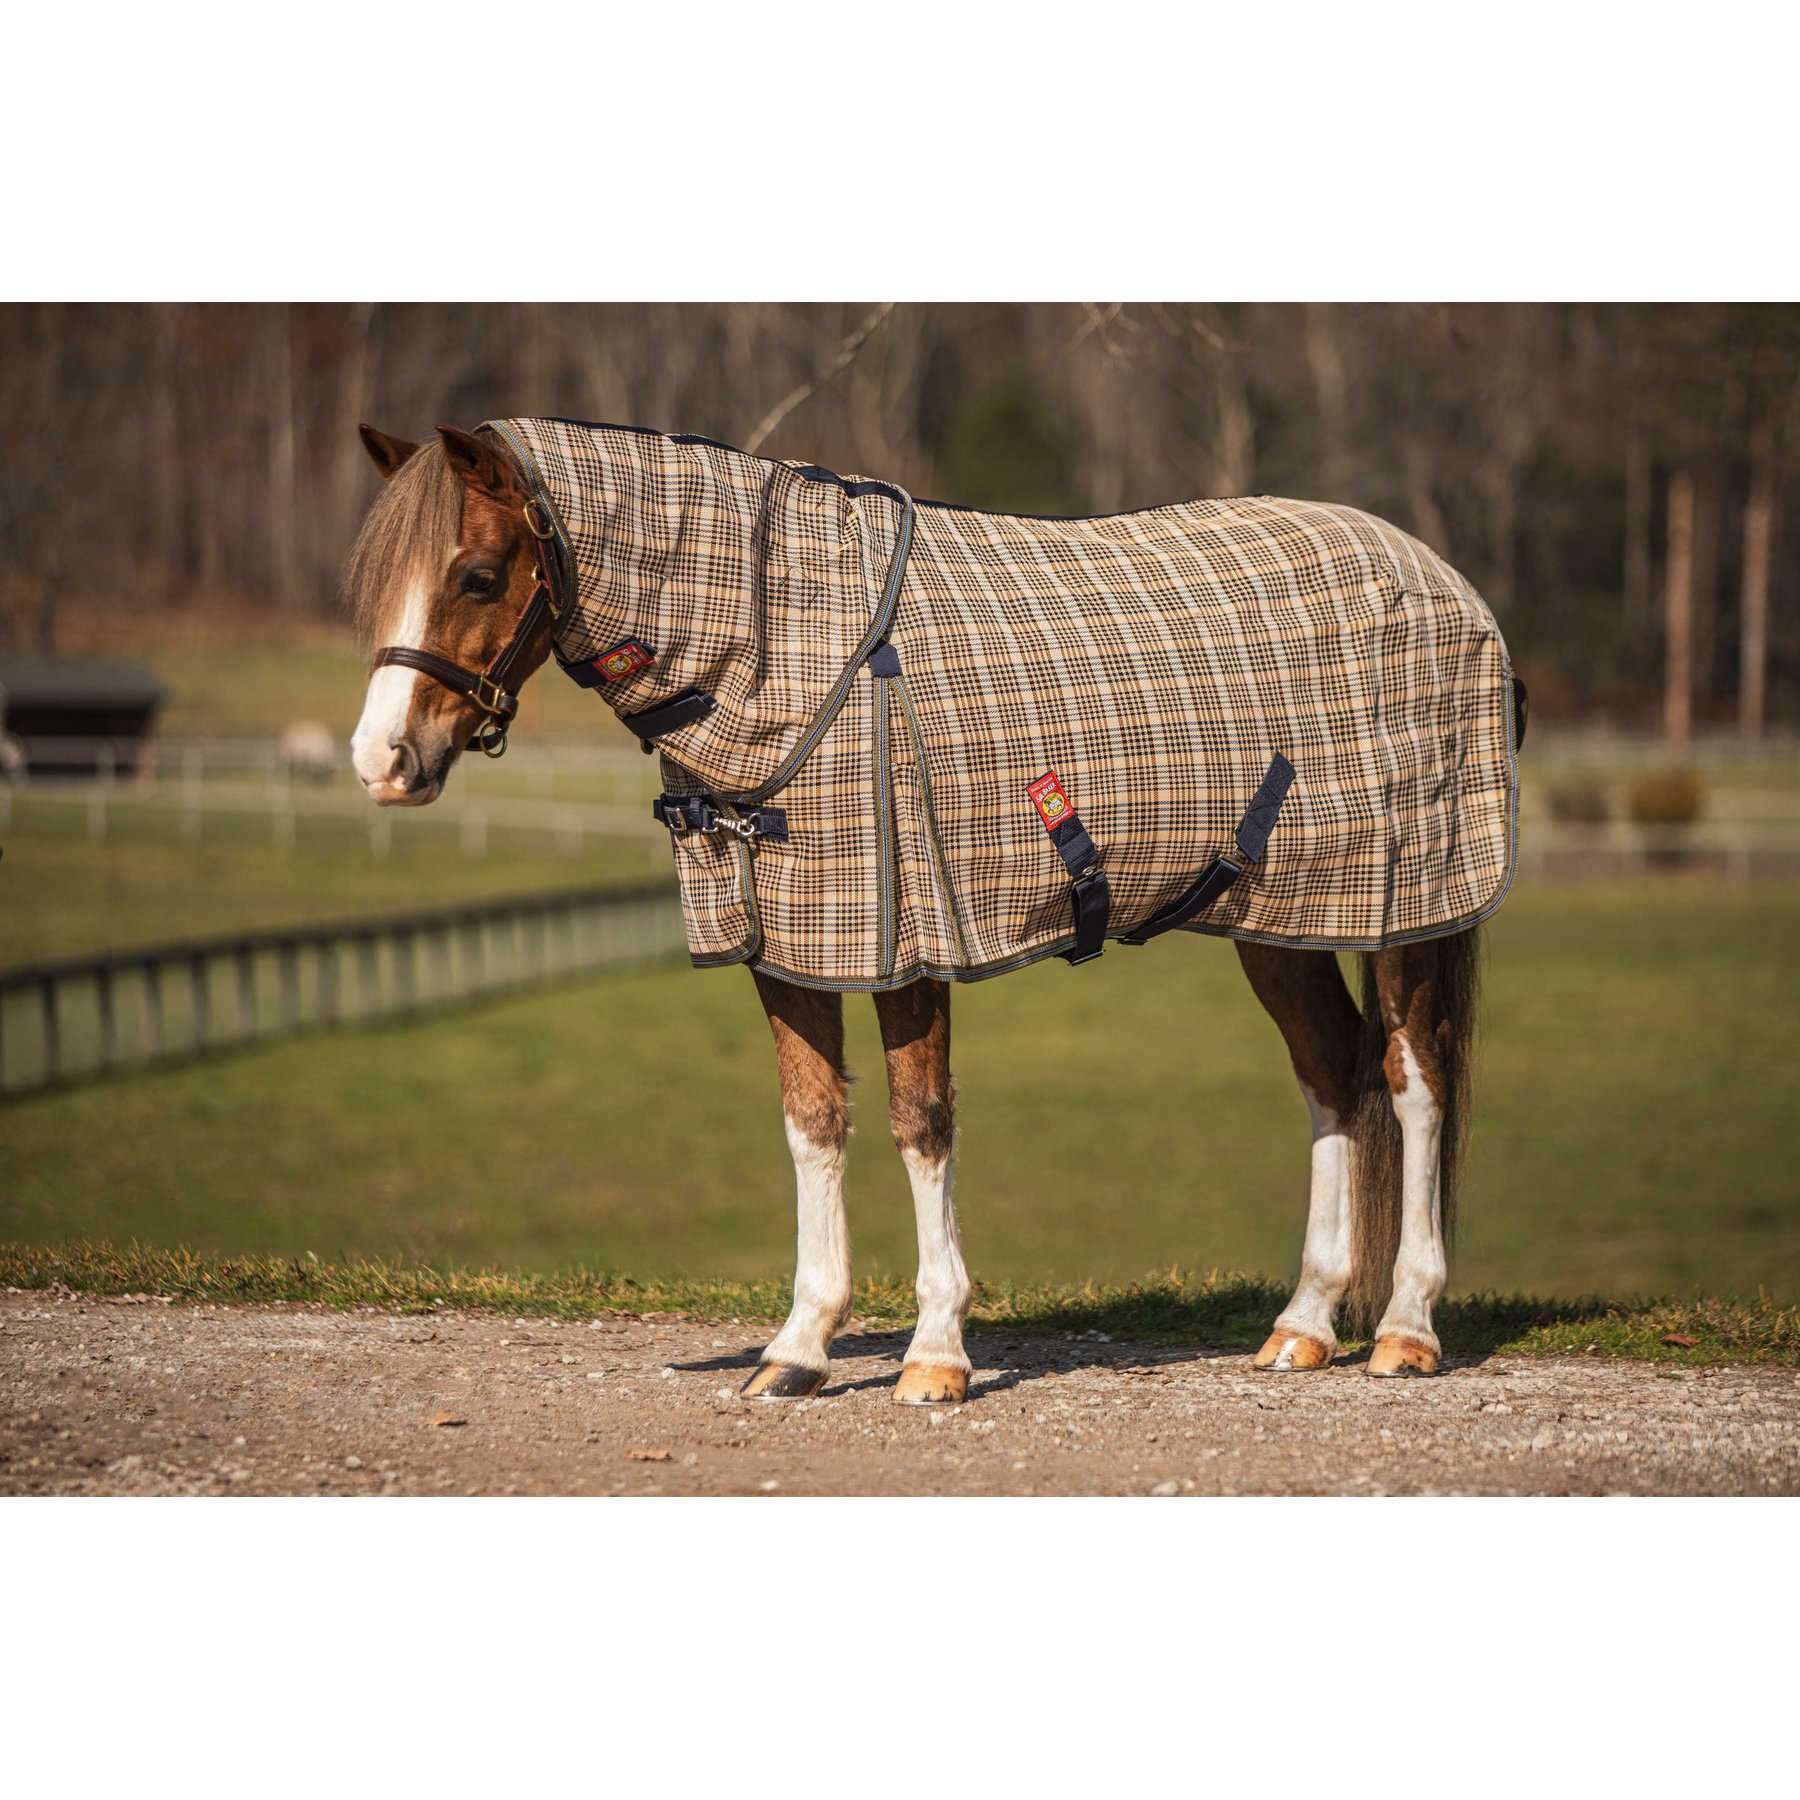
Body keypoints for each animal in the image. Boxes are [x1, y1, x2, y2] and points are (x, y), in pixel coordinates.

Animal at [347, 421, 1517, 1402]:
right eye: (377, 588)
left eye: (477, 574)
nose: (382, 763)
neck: (788, 643)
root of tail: (1442, 579)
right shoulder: (793, 942)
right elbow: (813, 1123)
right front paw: (798, 1349)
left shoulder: (904, 937)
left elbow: (920, 1125)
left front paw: (935, 1356)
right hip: (1287, 920)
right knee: (1330, 1073)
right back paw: (1303, 1325)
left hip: (1412, 905)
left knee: (1411, 1080)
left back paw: (1406, 1329)